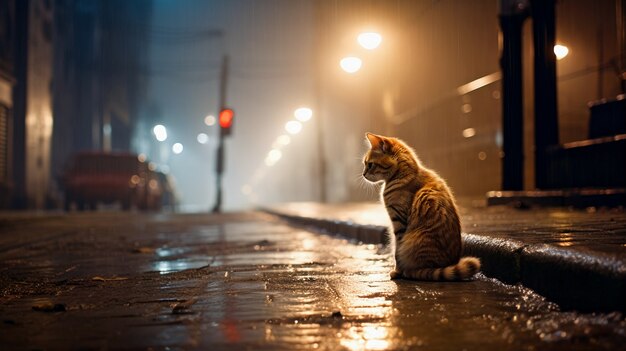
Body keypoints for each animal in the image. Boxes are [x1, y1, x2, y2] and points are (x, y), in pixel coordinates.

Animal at [360, 133, 478, 282]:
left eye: (370, 164)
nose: (363, 174)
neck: (404, 174)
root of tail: (447, 265)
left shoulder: (399, 221)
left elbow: (397, 251)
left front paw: (397, 271)